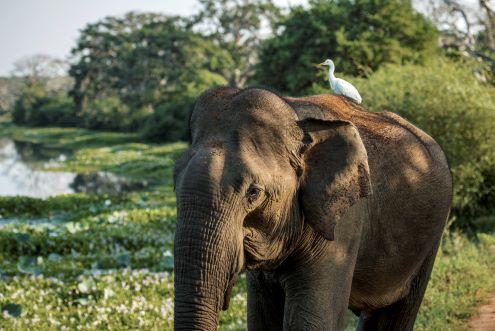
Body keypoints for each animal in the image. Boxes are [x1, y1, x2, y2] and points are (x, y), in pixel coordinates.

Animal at [173, 87, 454, 330]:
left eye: (254, 193)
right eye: (174, 183)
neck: (295, 113)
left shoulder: (346, 220)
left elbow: (313, 320)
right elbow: (263, 320)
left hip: (430, 238)